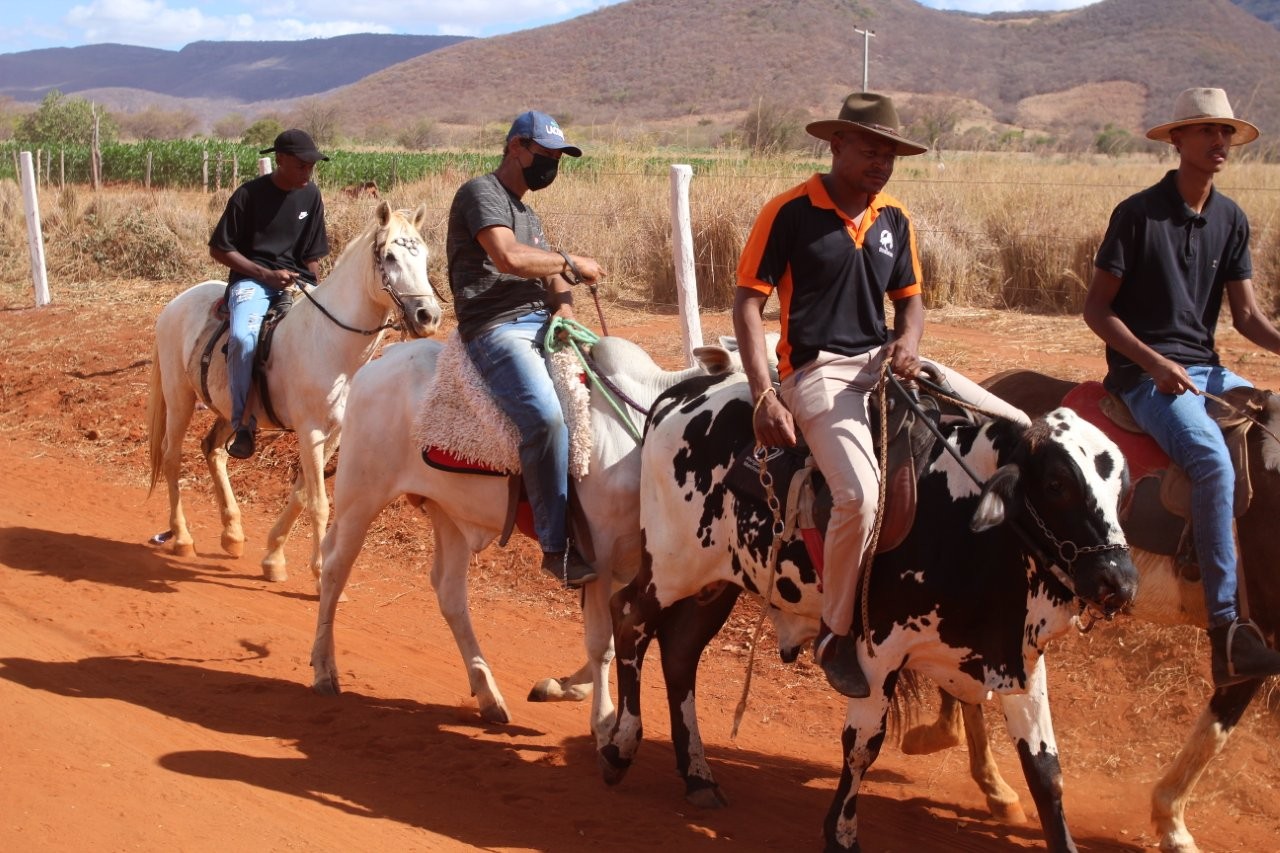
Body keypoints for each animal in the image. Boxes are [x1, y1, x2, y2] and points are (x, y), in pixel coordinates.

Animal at [147, 202, 441, 583]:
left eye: (425, 256)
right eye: (389, 256)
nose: (428, 316)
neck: (331, 341)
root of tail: (175, 304)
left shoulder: (334, 433)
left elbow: (302, 494)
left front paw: (273, 556)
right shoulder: (310, 431)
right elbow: (318, 502)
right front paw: (319, 571)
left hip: (230, 410)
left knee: (213, 450)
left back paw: (233, 534)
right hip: (179, 396)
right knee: (172, 456)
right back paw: (182, 537)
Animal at [310, 335, 733, 744]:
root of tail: (383, 360)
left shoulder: (632, 561)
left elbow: (615, 635)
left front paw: (563, 687)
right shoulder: (599, 554)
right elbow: (601, 643)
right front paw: (602, 722)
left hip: (449, 513)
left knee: (450, 593)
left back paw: (487, 694)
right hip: (360, 496)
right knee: (335, 568)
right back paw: (324, 669)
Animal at [599, 371, 1138, 852]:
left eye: (1122, 490)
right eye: (1057, 483)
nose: (1119, 581)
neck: (965, 520)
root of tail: (683, 393)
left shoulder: (1019, 659)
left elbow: (1045, 768)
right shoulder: (878, 652)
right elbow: (862, 747)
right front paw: (841, 834)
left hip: (716, 584)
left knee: (680, 654)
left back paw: (697, 774)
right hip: (671, 568)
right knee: (628, 619)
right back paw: (621, 746)